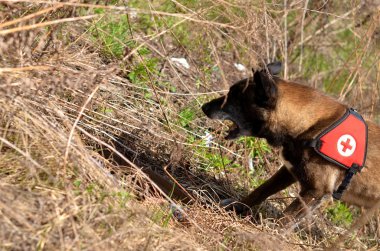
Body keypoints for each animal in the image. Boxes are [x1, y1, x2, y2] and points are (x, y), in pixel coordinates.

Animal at [202, 62, 380, 222]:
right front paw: (237, 206)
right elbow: (260, 191)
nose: (204, 107)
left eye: (233, 97)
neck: (312, 126)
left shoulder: (316, 191)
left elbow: (286, 218)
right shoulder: (289, 172)